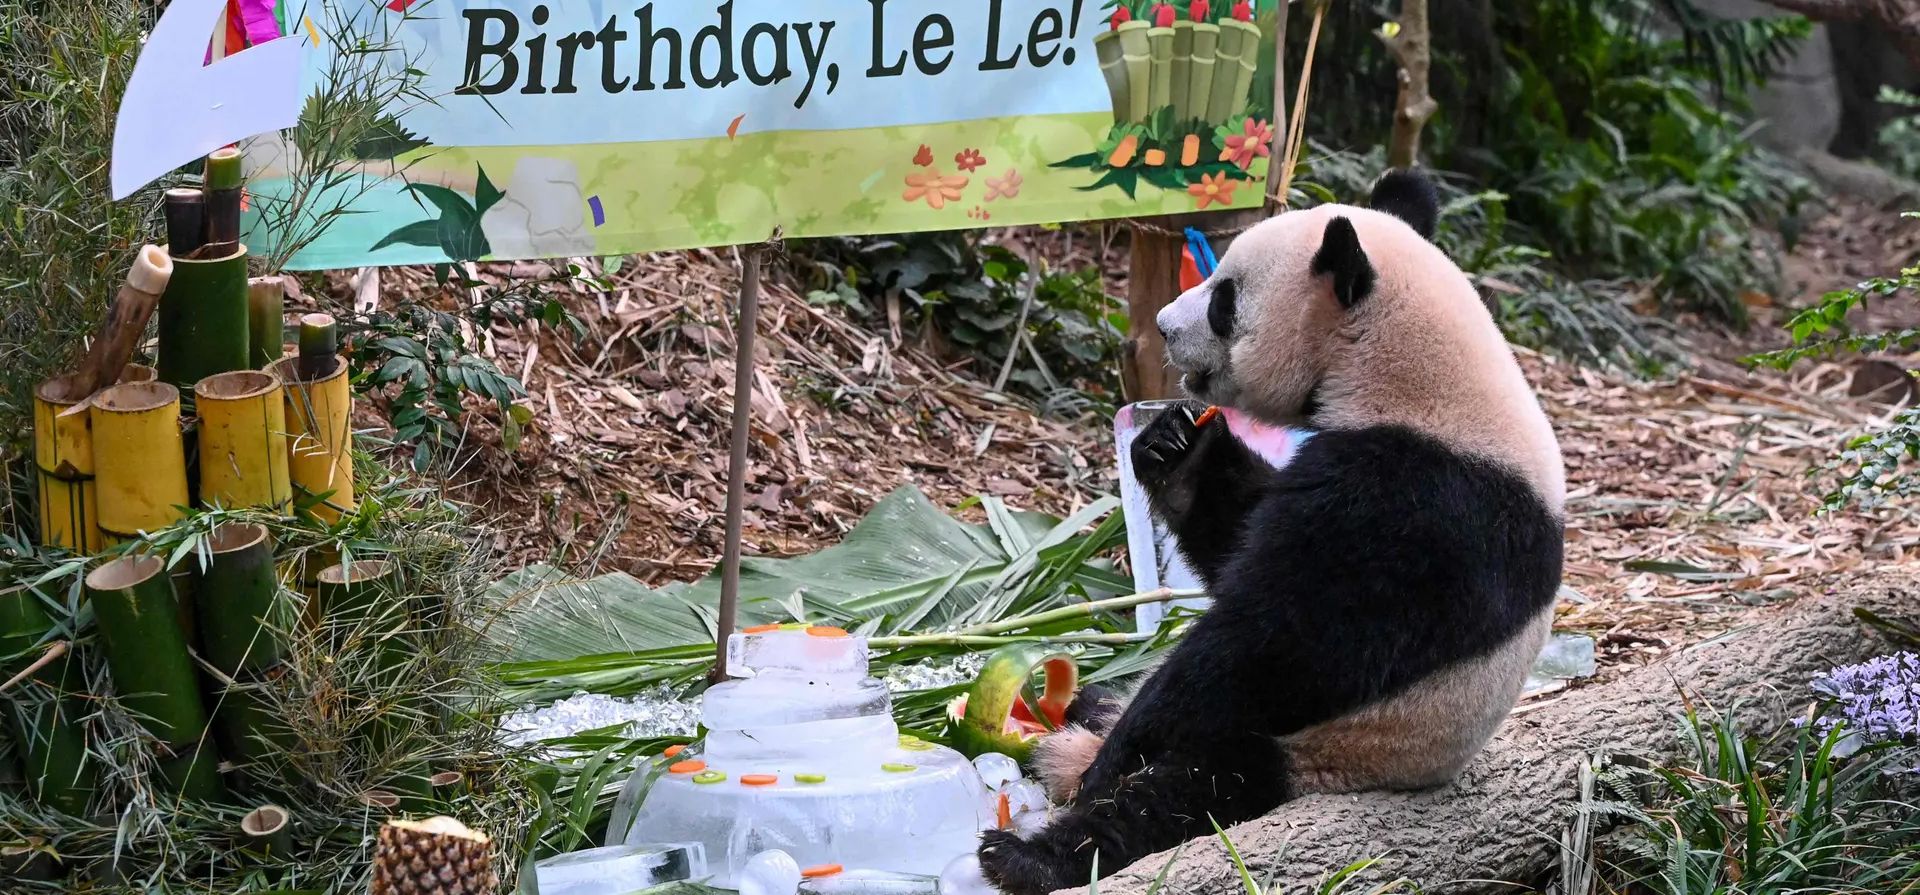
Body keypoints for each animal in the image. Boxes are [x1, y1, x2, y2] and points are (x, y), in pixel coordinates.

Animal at [976, 170, 1566, 895]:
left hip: (1314, 751)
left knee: (1180, 799)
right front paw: (1177, 452)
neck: (1416, 376)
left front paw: (1116, 756)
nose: (1165, 326)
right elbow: (1241, 534)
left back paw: (1036, 845)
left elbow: (1284, 638)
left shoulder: (1421, 502)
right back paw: (1088, 708)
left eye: (1224, 300)